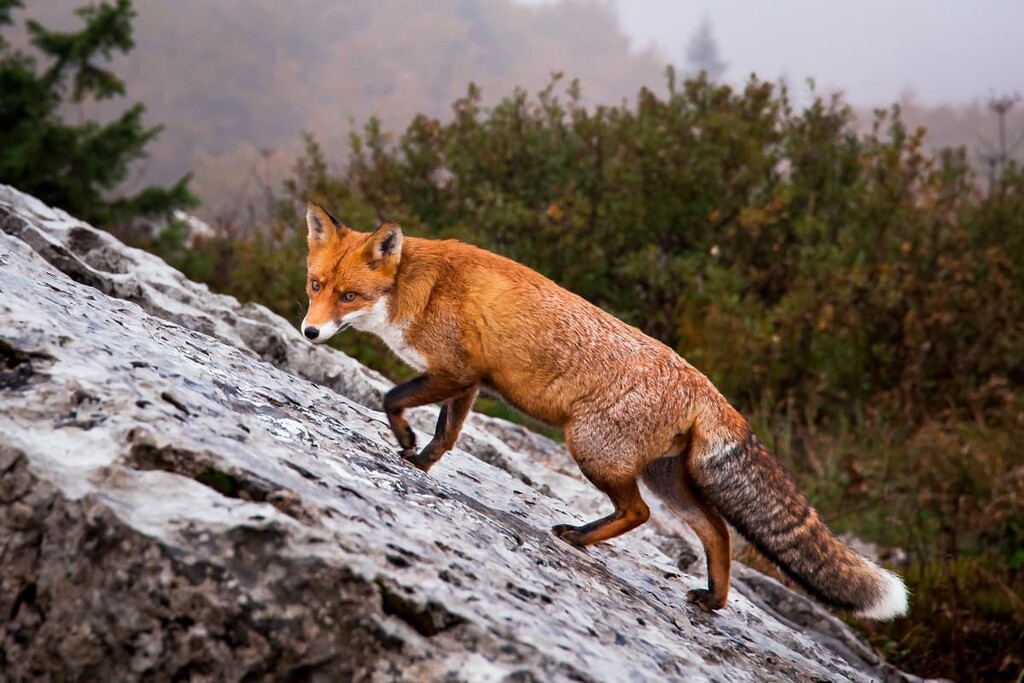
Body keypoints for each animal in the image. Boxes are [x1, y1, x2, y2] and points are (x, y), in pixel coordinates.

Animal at [299, 202, 909, 620]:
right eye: (315, 285)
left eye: (349, 296)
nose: (308, 332)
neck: (418, 287)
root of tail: (708, 388)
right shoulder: (466, 383)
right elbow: (445, 438)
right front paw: (418, 465)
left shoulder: (455, 373)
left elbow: (392, 399)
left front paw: (404, 444)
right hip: (668, 480)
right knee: (717, 533)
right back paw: (713, 601)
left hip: (592, 450)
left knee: (638, 514)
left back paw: (576, 537)